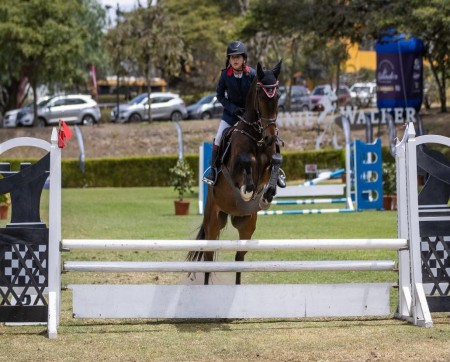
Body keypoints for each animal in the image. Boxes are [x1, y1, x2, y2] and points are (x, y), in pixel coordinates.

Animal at [188, 60, 284, 286]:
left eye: (277, 95)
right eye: (260, 95)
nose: (270, 137)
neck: (257, 135)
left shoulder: (269, 162)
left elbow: (275, 162)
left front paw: (268, 194)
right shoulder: (234, 167)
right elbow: (246, 161)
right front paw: (247, 190)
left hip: (247, 226)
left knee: (239, 257)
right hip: (213, 221)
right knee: (208, 258)